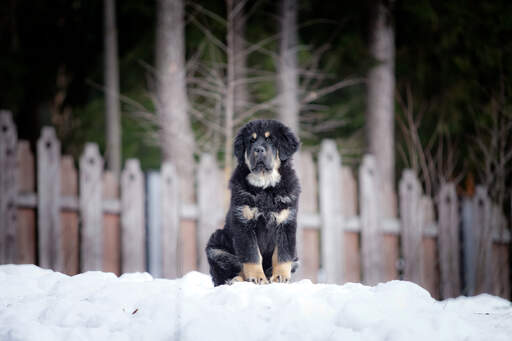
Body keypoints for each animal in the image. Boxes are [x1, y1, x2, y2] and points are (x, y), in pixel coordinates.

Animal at [204, 119, 300, 284]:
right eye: (251, 141)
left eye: (270, 139)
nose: (259, 150)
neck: (265, 187)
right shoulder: (244, 223)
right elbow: (252, 255)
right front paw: (257, 278)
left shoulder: (286, 222)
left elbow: (282, 255)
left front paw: (280, 276)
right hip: (216, 248)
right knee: (228, 273)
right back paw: (236, 280)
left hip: (296, 258)